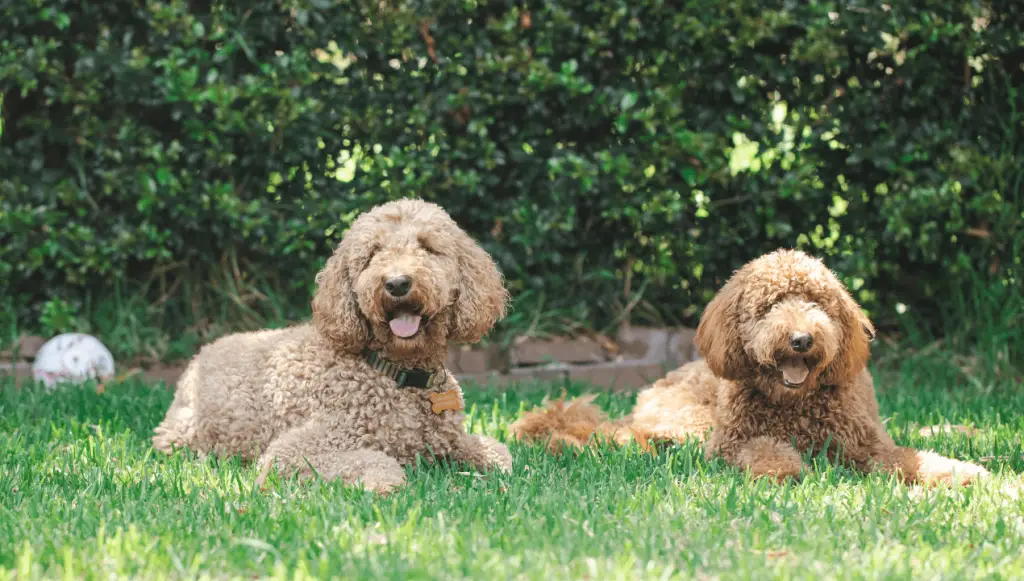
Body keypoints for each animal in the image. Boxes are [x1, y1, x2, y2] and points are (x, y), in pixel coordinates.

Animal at [152, 198, 512, 491]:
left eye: (426, 246)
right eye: (372, 254)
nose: (397, 283)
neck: (396, 374)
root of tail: (203, 352)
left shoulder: (451, 439)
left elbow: (500, 452)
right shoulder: (294, 450)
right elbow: (373, 459)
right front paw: (385, 482)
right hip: (183, 433)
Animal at [512, 247, 991, 483]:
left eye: (817, 302)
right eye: (769, 305)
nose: (801, 339)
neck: (797, 406)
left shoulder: (866, 445)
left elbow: (908, 456)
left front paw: (958, 471)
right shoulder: (729, 443)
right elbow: (760, 448)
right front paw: (782, 469)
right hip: (690, 422)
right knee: (629, 437)